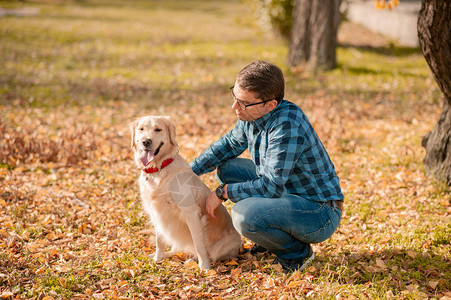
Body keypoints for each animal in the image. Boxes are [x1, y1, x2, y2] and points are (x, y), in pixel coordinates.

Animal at [131, 115, 242, 270]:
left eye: (158, 129)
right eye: (141, 129)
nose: (146, 142)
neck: (159, 170)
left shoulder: (191, 213)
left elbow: (199, 244)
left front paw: (205, 268)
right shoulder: (156, 211)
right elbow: (160, 240)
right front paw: (158, 258)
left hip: (222, 246)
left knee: (210, 253)